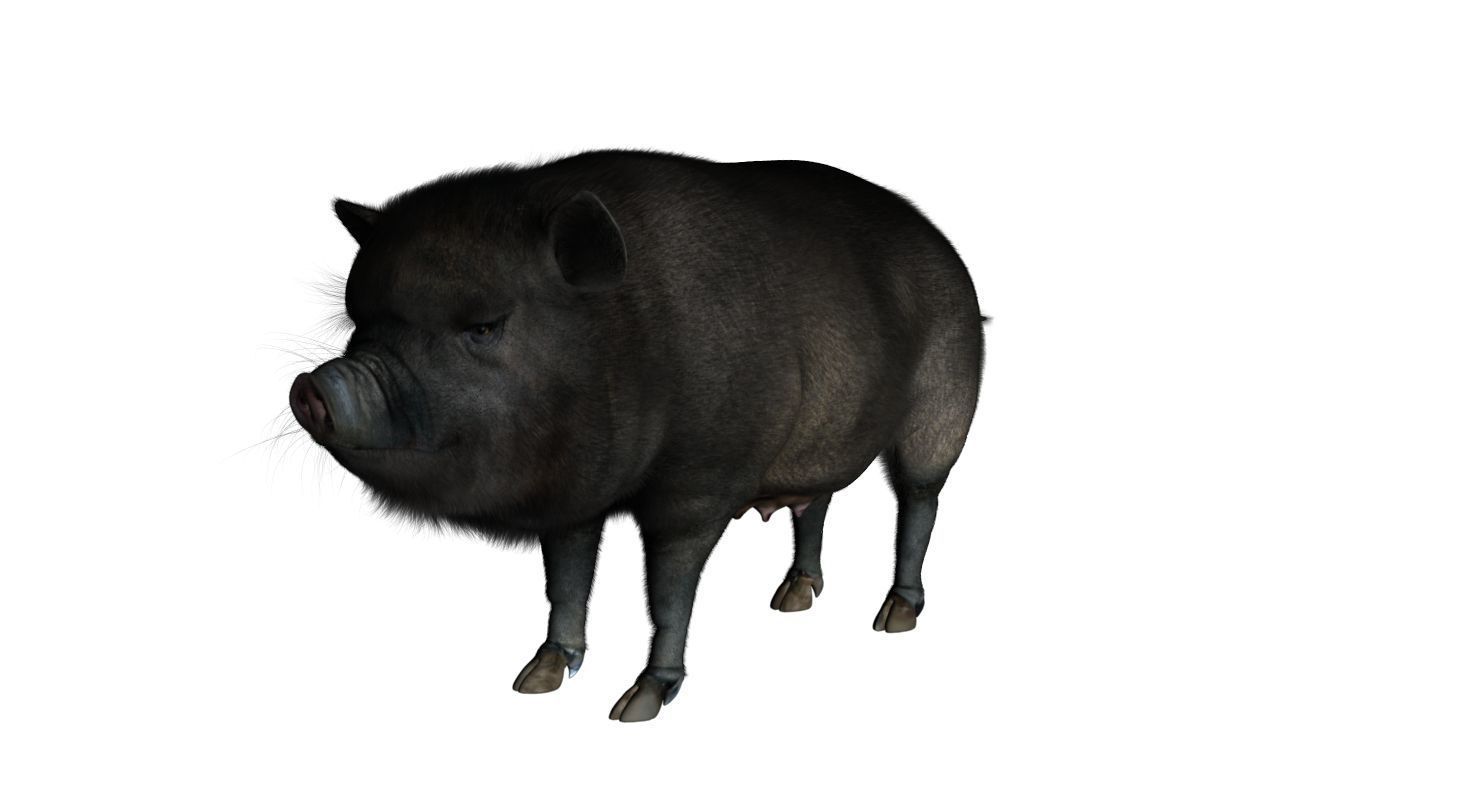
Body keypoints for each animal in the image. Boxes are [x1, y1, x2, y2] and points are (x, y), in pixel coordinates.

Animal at [288, 149, 986, 722]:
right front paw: (535, 679)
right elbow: (567, 578)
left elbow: (668, 592)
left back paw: (893, 620)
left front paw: (636, 705)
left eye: (483, 327)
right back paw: (791, 600)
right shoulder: (573, 500)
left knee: (919, 501)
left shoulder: (698, 487)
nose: (312, 388)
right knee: (814, 505)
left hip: (944, 408)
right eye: (359, 322)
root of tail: (950, 254)